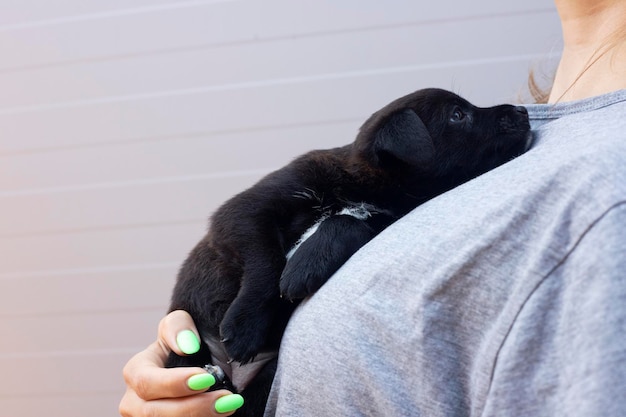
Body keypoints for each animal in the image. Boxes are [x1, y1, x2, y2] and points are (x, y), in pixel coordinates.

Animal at [167, 88, 532, 412]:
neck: (366, 187)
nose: (523, 112)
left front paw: (305, 264)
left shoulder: (379, 222)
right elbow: (266, 263)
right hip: (187, 353)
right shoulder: (247, 211)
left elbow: (347, 223)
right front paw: (245, 325)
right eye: (458, 115)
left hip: (267, 377)